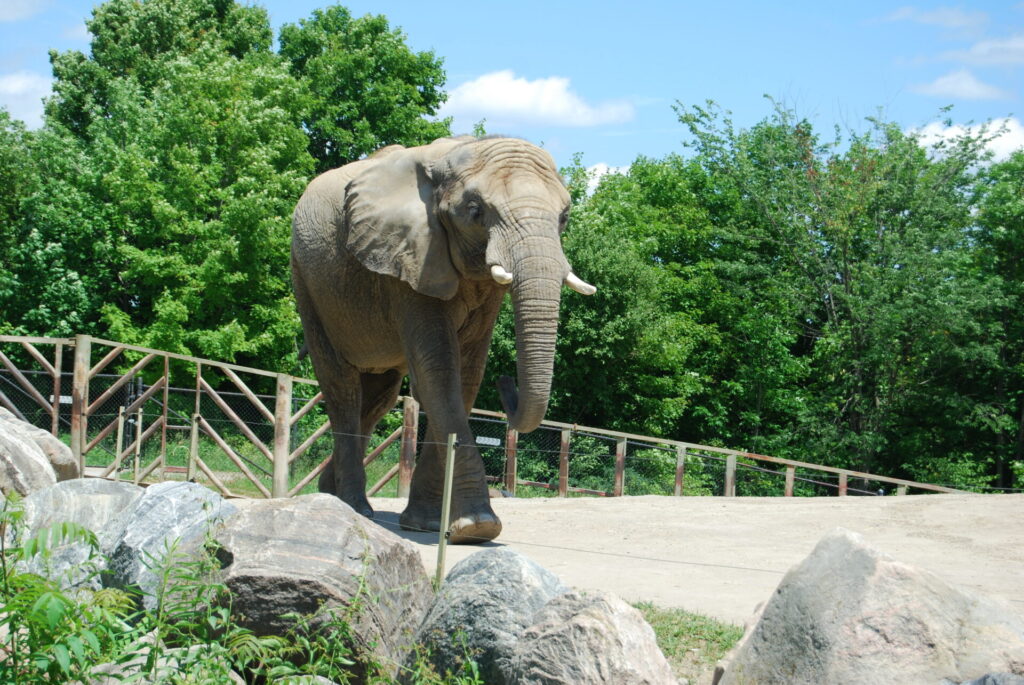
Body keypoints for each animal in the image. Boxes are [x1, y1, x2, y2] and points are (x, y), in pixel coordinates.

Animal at [290, 136, 593, 540]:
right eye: (476, 211)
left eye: (564, 217)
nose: (506, 381)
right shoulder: (410, 258)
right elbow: (438, 371)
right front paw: (478, 527)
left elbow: (465, 376)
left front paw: (429, 525)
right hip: (307, 282)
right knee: (342, 389)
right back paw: (355, 508)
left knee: (379, 398)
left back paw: (330, 496)